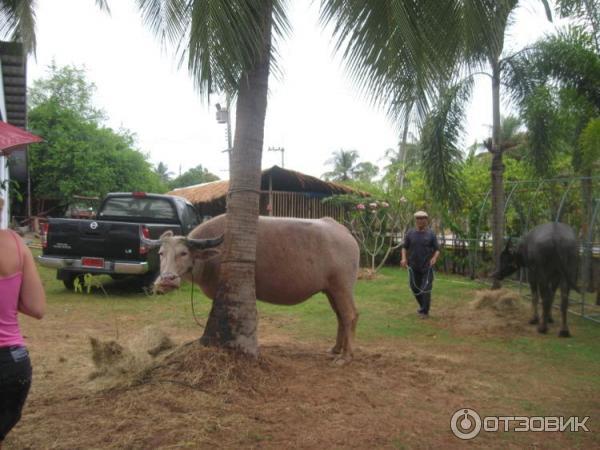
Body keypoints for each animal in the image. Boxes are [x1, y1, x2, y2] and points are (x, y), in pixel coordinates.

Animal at [144, 214, 360, 362]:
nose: (166, 280)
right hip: (330, 290)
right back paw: (336, 349)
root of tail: (346, 234)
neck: (215, 255)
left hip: (342, 287)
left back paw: (346, 356)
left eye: (183, 253)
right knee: (340, 316)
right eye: (161, 253)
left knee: (350, 315)